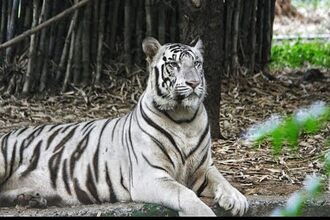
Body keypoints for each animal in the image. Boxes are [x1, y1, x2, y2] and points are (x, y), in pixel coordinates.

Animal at [0, 37, 248, 216]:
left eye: (196, 63)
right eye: (174, 64)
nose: (194, 83)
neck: (184, 118)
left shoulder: (204, 167)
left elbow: (222, 180)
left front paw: (237, 199)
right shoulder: (151, 176)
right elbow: (185, 195)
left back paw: (32, 199)